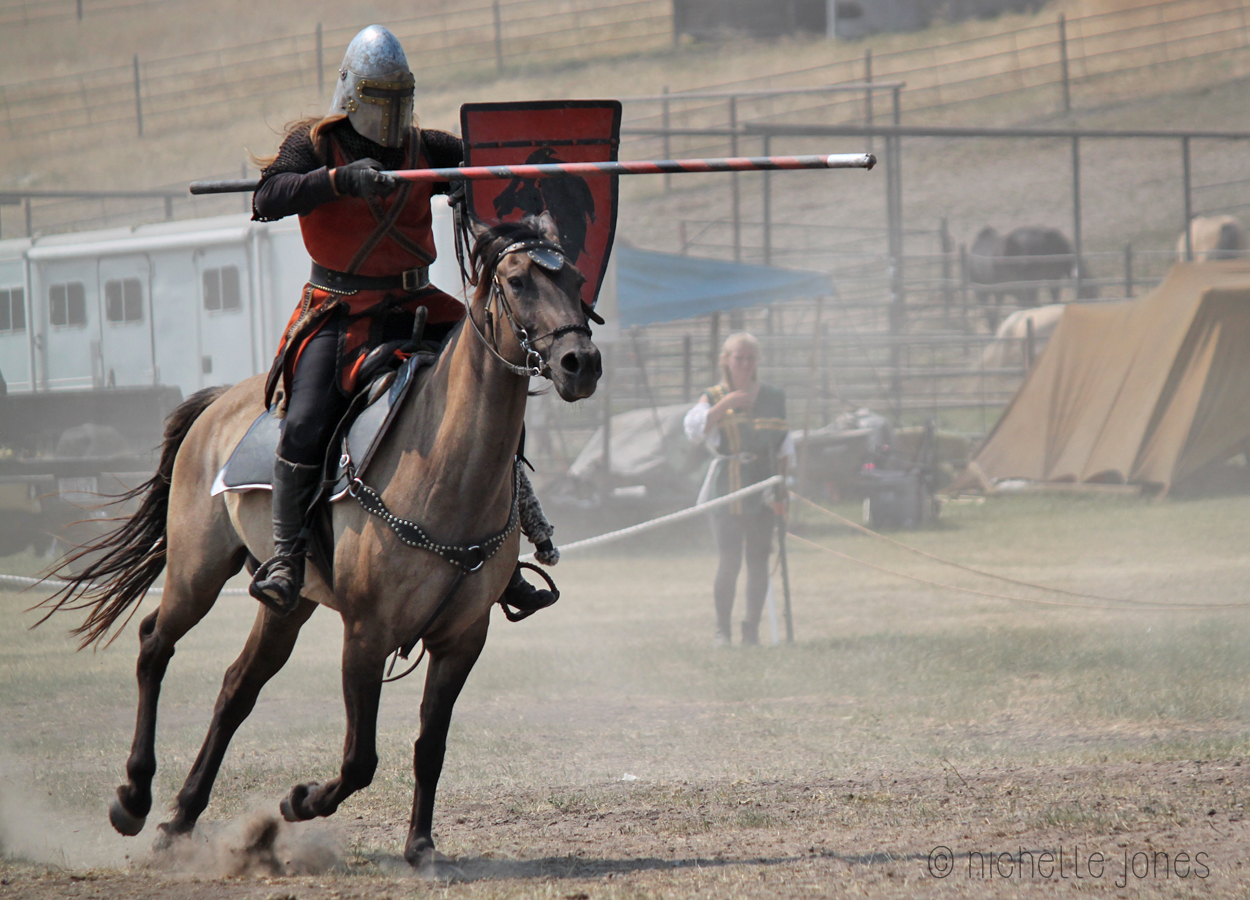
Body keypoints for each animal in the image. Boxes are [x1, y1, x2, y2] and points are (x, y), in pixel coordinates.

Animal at [36, 213, 601, 874]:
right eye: (517, 281)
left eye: (577, 279)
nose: (580, 362)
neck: (446, 464)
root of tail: (219, 403)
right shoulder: (366, 633)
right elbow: (360, 759)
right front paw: (300, 801)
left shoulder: (462, 639)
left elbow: (429, 745)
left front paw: (421, 846)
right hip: (197, 572)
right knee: (156, 643)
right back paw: (133, 799)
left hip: (289, 602)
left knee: (236, 688)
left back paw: (179, 820)